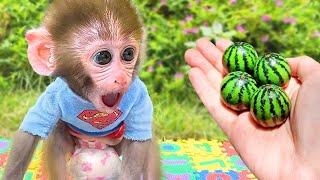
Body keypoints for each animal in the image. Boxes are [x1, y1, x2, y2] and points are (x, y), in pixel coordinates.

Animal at [3, 0, 160, 179]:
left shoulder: (139, 94)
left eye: (128, 54)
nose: (121, 78)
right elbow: (31, 129)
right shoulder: (54, 95)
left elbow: (138, 142)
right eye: (103, 57)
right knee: (57, 136)